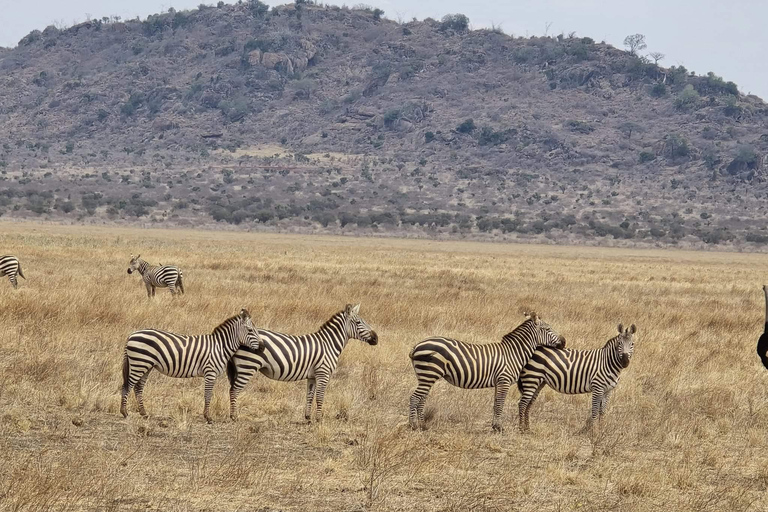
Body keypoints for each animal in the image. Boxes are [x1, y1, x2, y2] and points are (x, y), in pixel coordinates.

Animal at [121, 308, 262, 424]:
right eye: (250, 330)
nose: (262, 348)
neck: (220, 347)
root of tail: (132, 335)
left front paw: (207, 416)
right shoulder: (210, 372)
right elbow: (208, 394)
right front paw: (208, 417)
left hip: (146, 366)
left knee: (138, 388)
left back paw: (144, 414)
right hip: (139, 363)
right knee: (127, 386)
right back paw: (124, 412)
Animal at [226, 304, 380, 420]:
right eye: (358, 322)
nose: (376, 338)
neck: (328, 344)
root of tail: (238, 338)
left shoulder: (312, 376)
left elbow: (310, 396)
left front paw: (308, 418)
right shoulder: (323, 373)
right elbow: (320, 397)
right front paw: (318, 419)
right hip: (247, 366)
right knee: (234, 390)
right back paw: (234, 416)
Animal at [408, 312, 564, 432]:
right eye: (548, 328)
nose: (564, 342)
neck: (513, 353)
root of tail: (417, 346)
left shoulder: (498, 382)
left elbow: (495, 404)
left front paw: (494, 426)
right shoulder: (504, 380)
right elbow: (500, 404)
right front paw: (500, 428)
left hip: (427, 376)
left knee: (422, 398)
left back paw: (422, 425)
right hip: (429, 374)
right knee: (414, 397)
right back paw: (413, 425)